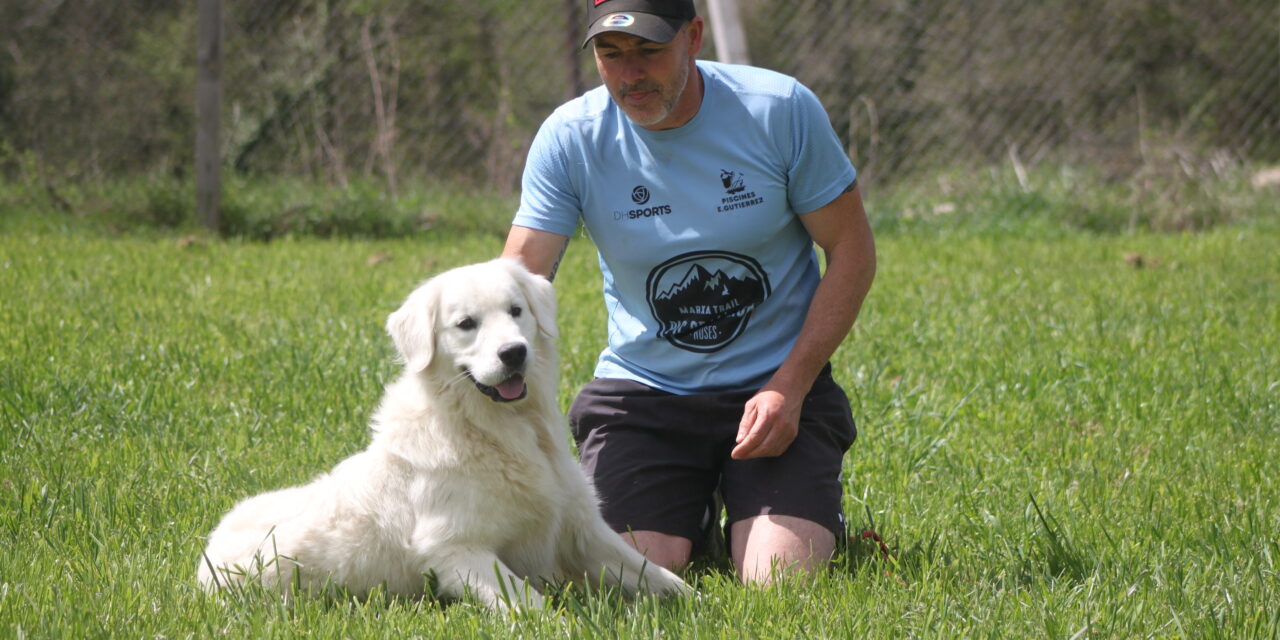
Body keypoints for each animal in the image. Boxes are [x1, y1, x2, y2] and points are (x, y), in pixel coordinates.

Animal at [195, 257, 691, 606]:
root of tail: (204, 562)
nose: (514, 352)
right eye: (466, 324)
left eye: (516, 312)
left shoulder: (580, 526)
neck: (498, 430)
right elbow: (530, 603)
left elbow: (653, 572)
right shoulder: (456, 550)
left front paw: (700, 602)